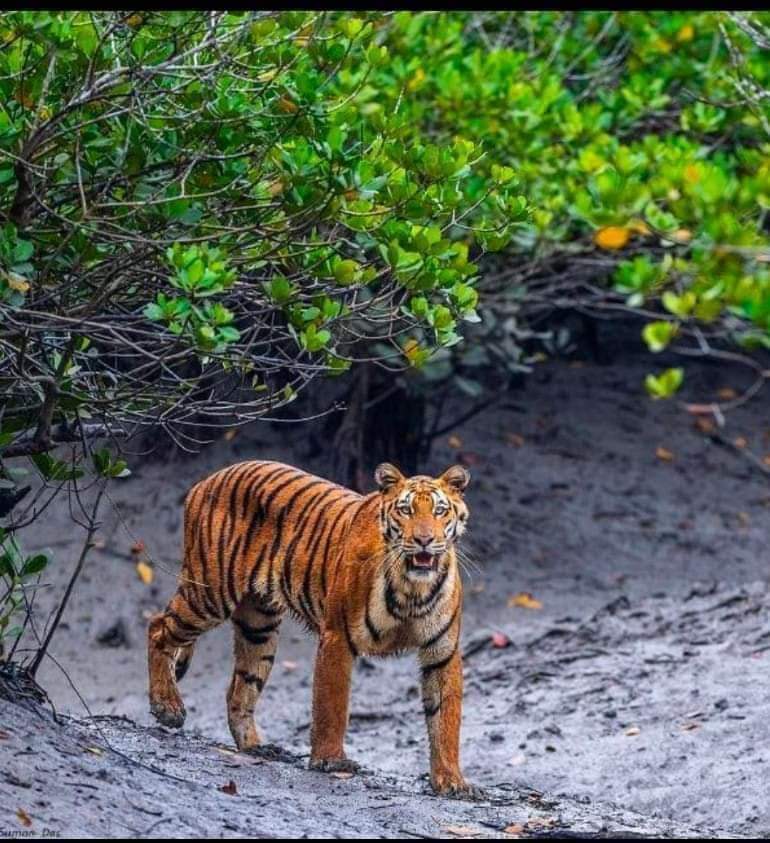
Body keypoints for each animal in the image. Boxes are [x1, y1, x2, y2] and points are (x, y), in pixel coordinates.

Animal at [147, 459, 479, 797]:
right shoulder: (337, 637)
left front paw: (451, 780)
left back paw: (255, 746)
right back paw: (167, 706)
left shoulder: (442, 651)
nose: (424, 540)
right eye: (406, 510)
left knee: (239, 688)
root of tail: (208, 479)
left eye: (439, 511)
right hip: (210, 593)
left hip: (259, 627)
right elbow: (332, 704)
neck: (412, 588)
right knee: (158, 627)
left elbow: (445, 719)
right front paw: (331, 760)